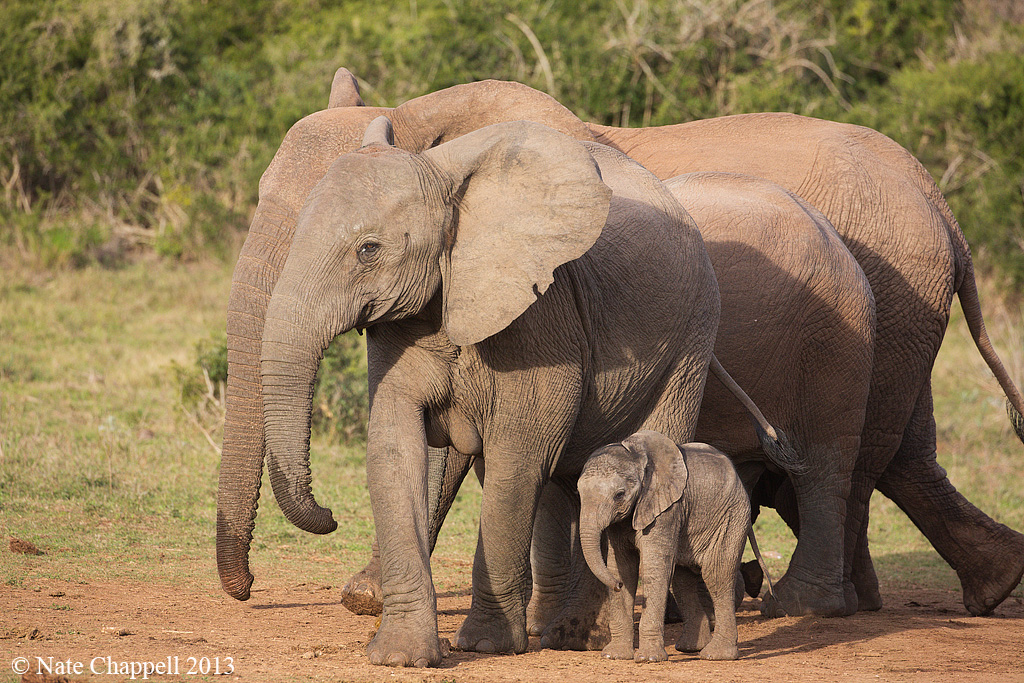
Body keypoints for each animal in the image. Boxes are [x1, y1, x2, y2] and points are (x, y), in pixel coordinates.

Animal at [254, 116, 732, 665]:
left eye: (368, 249)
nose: (329, 515)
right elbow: (394, 448)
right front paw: (400, 656)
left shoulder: (542, 315)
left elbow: (517, 460)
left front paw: (487, 645)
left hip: (692, 338)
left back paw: (579, 639)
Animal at [578, 431, 773, 662]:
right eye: (579, 493)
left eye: (619, 494)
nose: (616, 585)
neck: (636, 455)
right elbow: (623, 567)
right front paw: (614, 656)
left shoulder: (666, 510)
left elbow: (654, 569)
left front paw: (648, 659)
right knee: (682, 580)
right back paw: (690, 648)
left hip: (731, 518)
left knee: (716, 575)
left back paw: (716, 655)